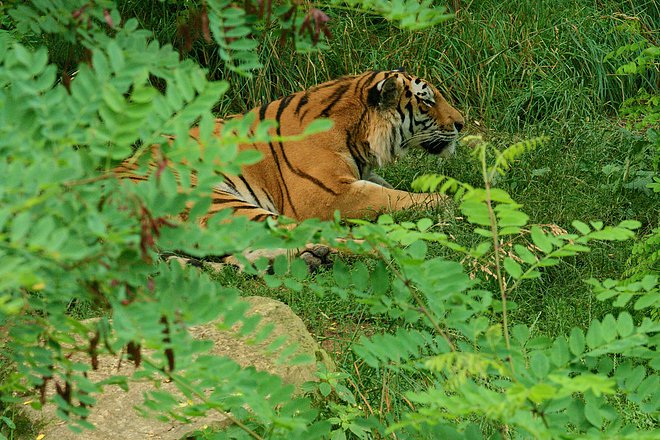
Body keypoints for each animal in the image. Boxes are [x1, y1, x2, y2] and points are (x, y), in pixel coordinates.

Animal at [114, 68, 464, 264]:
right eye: (427, 100)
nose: (461, 124)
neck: (358, 134)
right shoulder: (328, 195)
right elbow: (395, 198)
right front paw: (447, 206)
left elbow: (393, 190)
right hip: (216, 202)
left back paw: (311, 259)